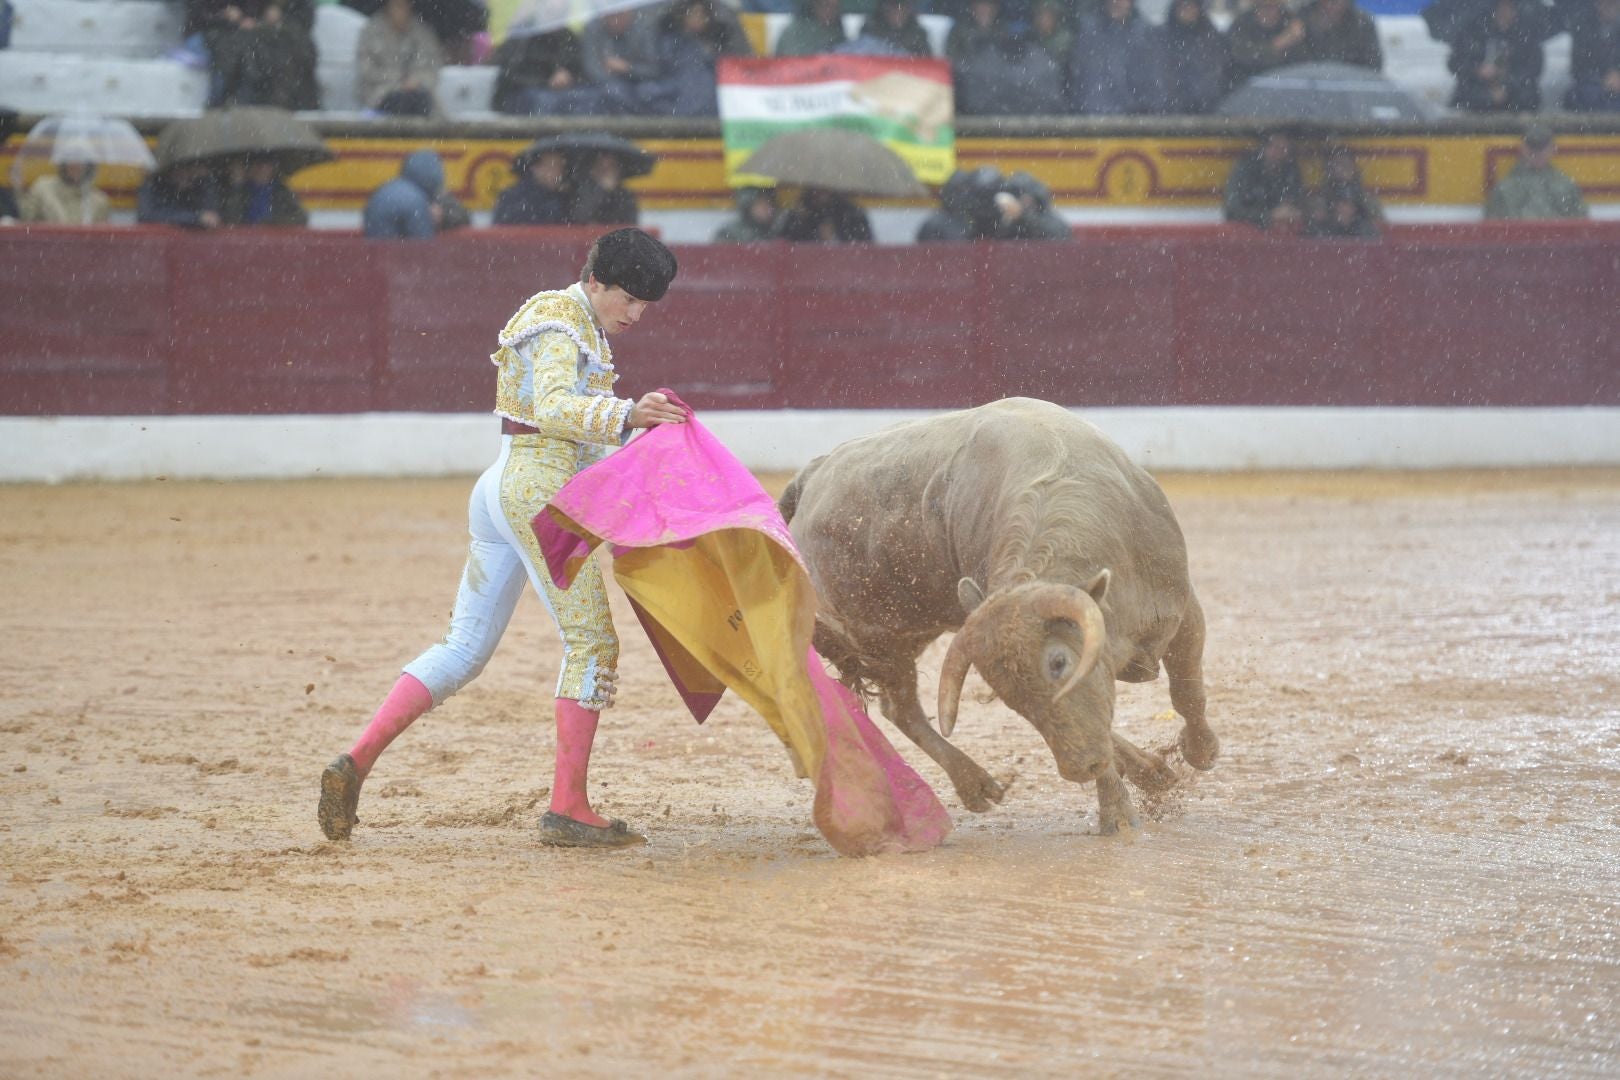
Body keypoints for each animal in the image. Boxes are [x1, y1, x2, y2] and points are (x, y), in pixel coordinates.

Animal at [777, 401, 1218, 835]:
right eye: (1006, 695)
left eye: (1059, 662)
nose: (1077, 769)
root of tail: (809, 477)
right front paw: (1118, 813)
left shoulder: (1184, 611)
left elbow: (1186, 693)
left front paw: (1200, 751)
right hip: (880, 641)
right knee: (902, 709)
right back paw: (976, 784)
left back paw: (1152, 771)